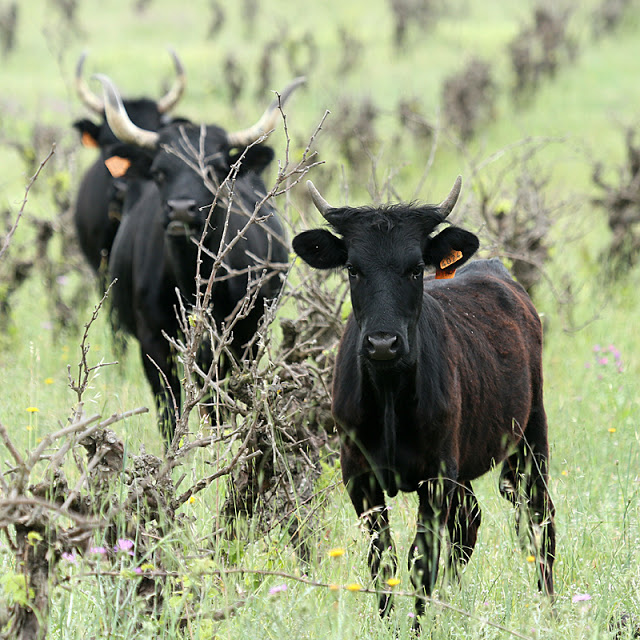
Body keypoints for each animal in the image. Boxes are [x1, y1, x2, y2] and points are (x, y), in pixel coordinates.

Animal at [292, 179, 556, 632]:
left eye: (416, 268)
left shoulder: (435, 475)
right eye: (353, 269)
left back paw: (551, 606)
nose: (383, 343)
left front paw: (416, 627)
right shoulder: (359, 474)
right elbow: (382, 558)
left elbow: (420, 560)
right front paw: (387, 624)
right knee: (470, 522)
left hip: (530, 436)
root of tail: (494, 269)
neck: (389, 396)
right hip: (465, 463)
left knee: (539, 516)